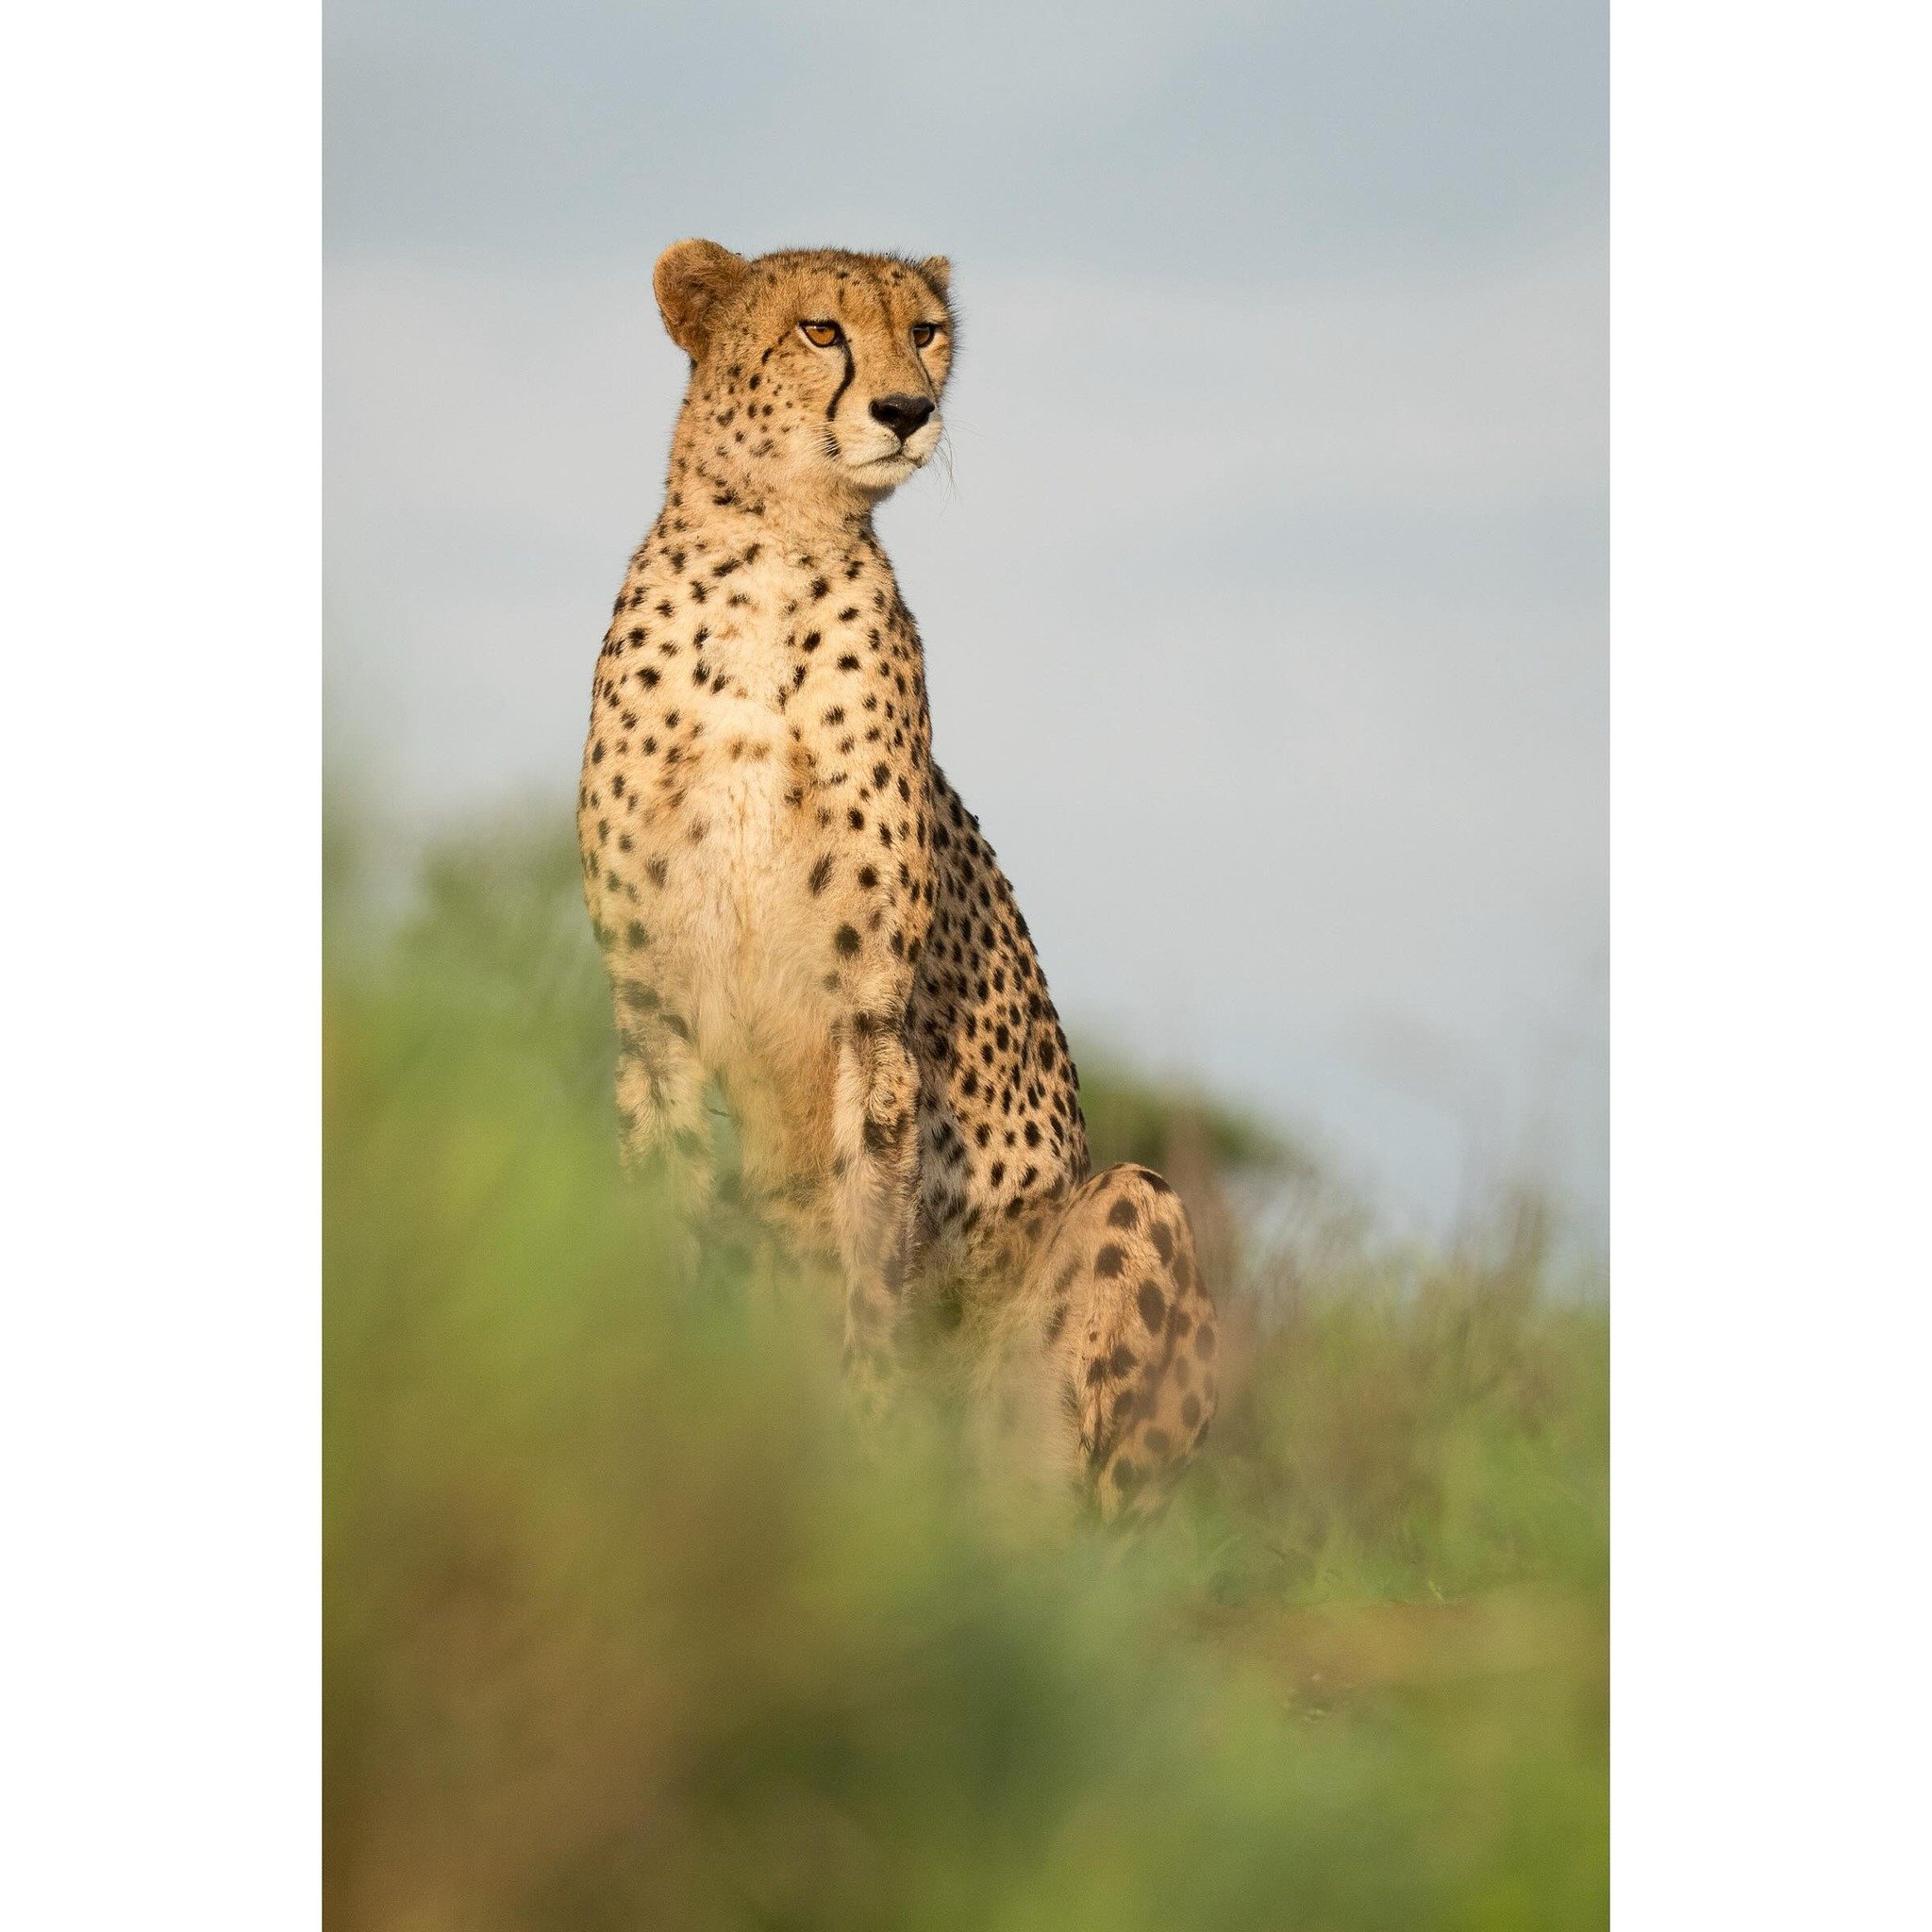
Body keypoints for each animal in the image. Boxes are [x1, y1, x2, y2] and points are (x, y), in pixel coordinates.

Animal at [572, 242, 1213, 1514]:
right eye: (820, 329)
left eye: (924, 331)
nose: (907, 410)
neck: (770, 556)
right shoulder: (653, 1010)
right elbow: (657, 1223)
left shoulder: (868, 1019)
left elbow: (867, 1262)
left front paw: (864, 1458)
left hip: (1130, 1222)